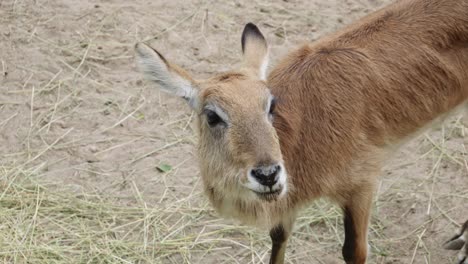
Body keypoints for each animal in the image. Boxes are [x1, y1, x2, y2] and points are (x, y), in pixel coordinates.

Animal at [133, 0, 468, 262]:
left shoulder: (363, 184)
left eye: (270, 104)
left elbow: (354, 251)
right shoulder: (285, 204)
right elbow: (278, 238)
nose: (268, 174)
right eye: (212, 115)